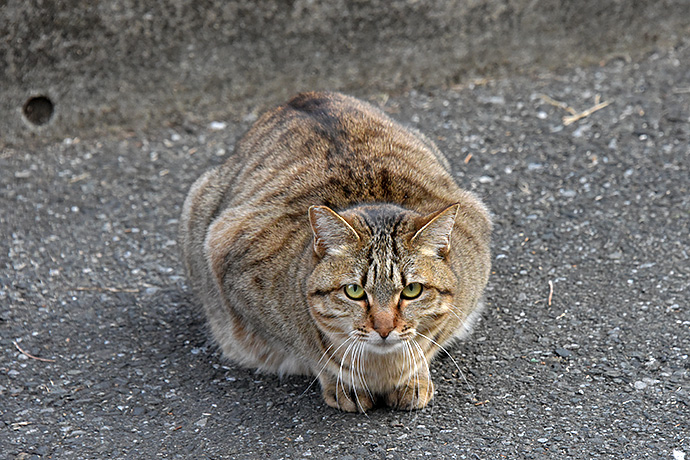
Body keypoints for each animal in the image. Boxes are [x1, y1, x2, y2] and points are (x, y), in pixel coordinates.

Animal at [177, 90, 490, 414]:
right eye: (354, 291)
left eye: (412, 290)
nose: (384, 329)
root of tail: (301, 96)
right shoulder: (229, 256)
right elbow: (312, 351)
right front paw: (344, 379)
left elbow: (429, 340)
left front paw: (413, 373)